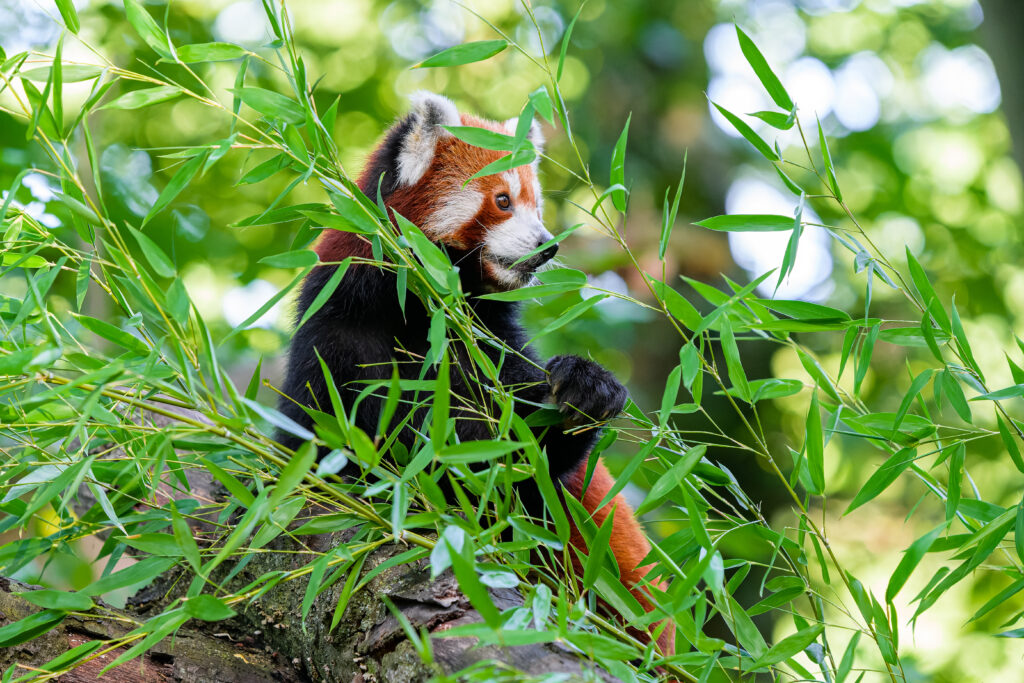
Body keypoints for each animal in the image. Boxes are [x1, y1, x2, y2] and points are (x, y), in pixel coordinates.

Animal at [277, 91, 674, 655]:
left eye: (536, 204)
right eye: (503, 200)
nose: (548, 246)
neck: (422, 310)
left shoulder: (490, 345)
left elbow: (520, 464)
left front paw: (586, 389)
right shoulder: (336, 332)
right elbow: (324, 440)